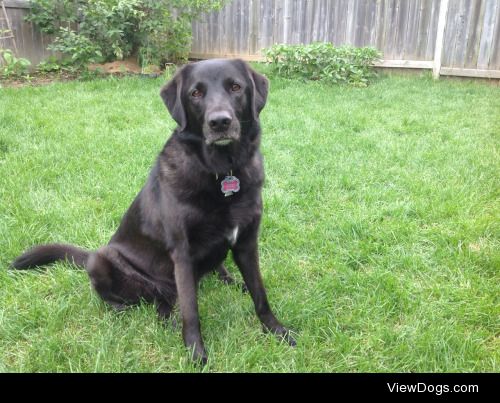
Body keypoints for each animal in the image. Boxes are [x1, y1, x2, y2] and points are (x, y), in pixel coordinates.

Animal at [11, 58, 294, 364]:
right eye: (196, 93)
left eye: (235, 87)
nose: (220, 122)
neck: (222, 174)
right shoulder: (182, 254)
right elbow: (191, 311)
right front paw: (196, 353)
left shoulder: (246, 243)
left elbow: (260, 294)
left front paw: (277, 331)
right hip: (102, 260)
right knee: (153, 302)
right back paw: (131, 312)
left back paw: (229, 282)